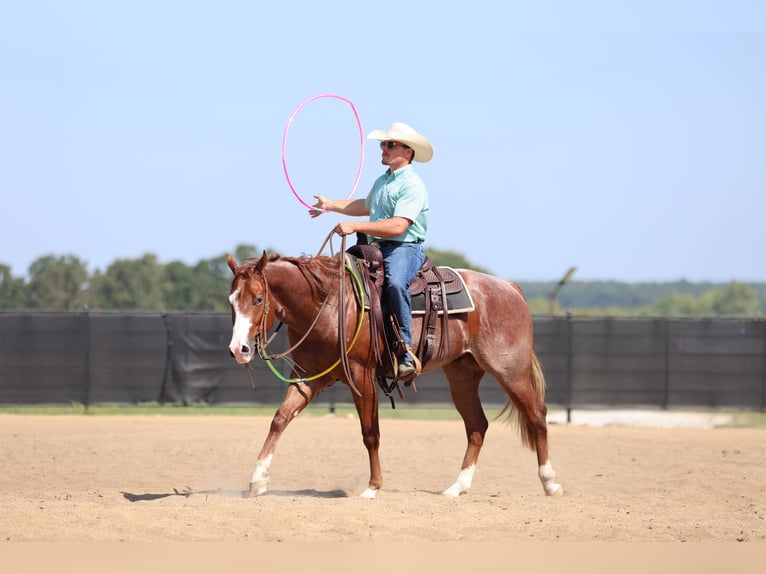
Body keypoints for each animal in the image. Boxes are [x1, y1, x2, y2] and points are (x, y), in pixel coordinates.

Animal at [226, 249, 563, 499]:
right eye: (231, 301)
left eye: (258, 299)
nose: (238, 349)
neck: (328, 304)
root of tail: (510, 288)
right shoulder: (309, 376)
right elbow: (280, 419)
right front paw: (258, 479)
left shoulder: (361, 375)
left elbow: (370, 433)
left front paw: (373, 487)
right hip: (462, 376)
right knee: (477, 425)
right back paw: (457, 487)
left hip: (511, 371)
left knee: (537, 414)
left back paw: (549, 482)